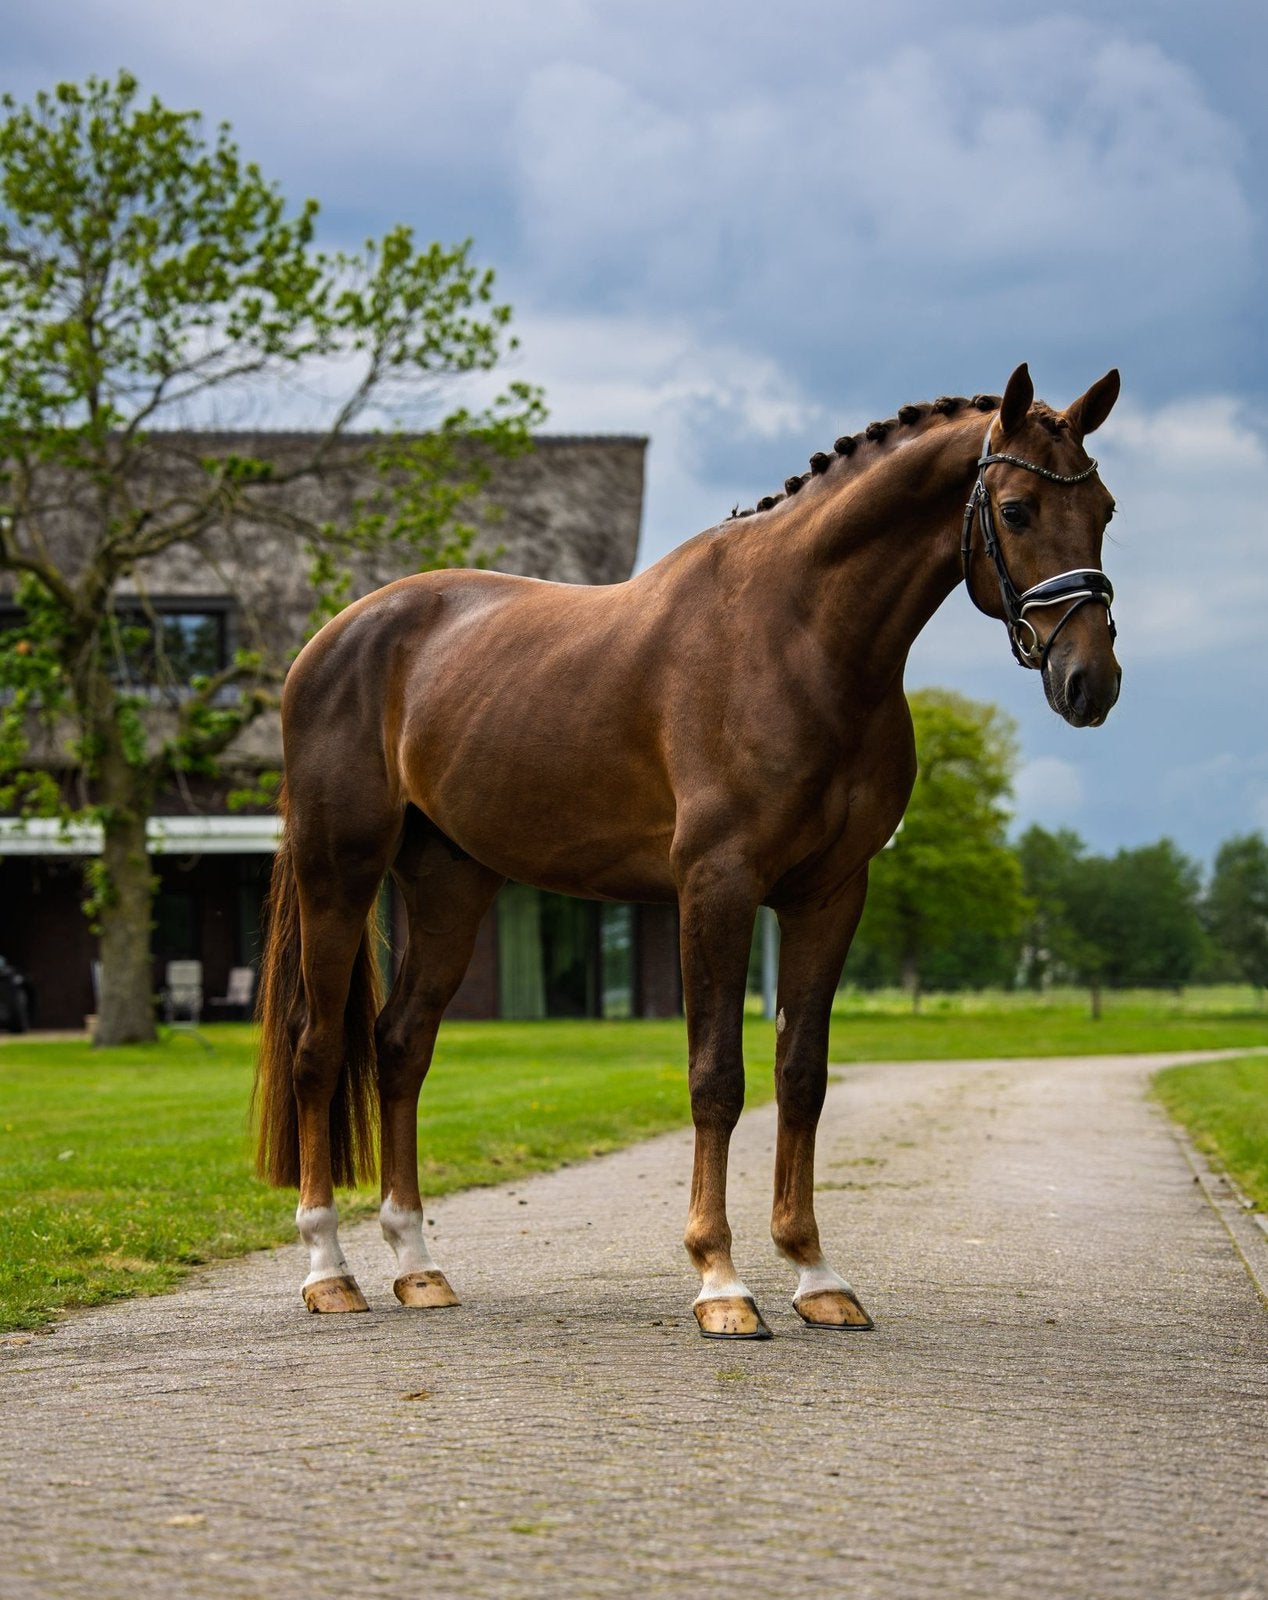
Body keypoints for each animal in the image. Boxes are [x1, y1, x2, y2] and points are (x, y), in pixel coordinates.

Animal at [253, 362, 1122, 1339]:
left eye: (1105, 509)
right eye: (1015, 508)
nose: (1089, 681)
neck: (798, 638)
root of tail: (332, 640)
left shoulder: (830, 894)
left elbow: (801, 1075)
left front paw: (816, 1274)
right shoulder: (716, 886)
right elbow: (718, 1078)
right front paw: (721, 1281)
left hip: (450, 884)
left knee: (402, 1045)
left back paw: (418, 1266)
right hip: (339, 872)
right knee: (318, 1050)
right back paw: (329, 1270)